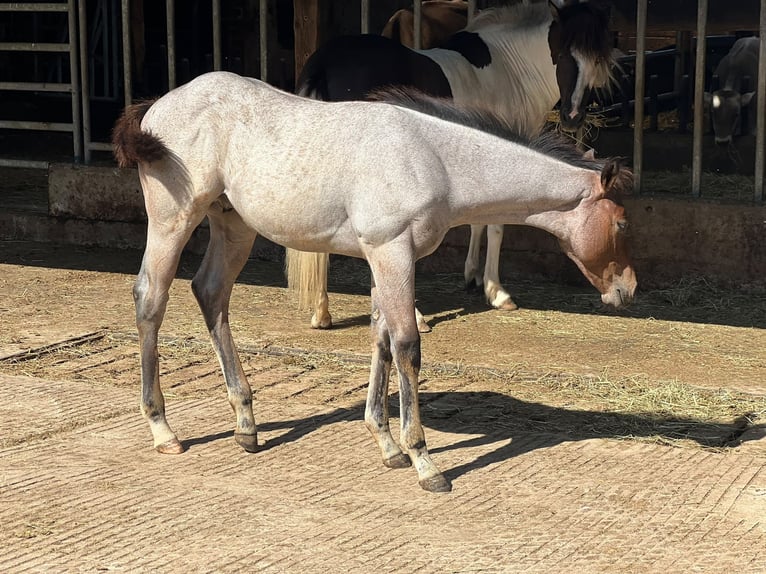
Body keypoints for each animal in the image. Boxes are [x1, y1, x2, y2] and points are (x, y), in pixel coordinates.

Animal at [112, 72, 636, 493]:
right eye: (623, 223)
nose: (627, 290)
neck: (435, 160)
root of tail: (159, 105)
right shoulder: (391, 253)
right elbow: (406, 346)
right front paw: (424, 461)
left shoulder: (387, 261)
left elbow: (380, 340)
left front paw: (387, 444)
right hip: (173, 220)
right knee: (150, 298)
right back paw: (163, 429)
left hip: (233, 225)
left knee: (211, 293)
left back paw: (246, 423)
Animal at [288, 0, 615, 332]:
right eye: (562, 55)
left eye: (597, 59)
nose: (572, 117)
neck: (509, 69)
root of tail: (325, 63)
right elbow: (496, 225)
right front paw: (497, 293)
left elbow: (477, 219)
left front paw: (473, 277)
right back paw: (414, 317)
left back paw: (322, 313)